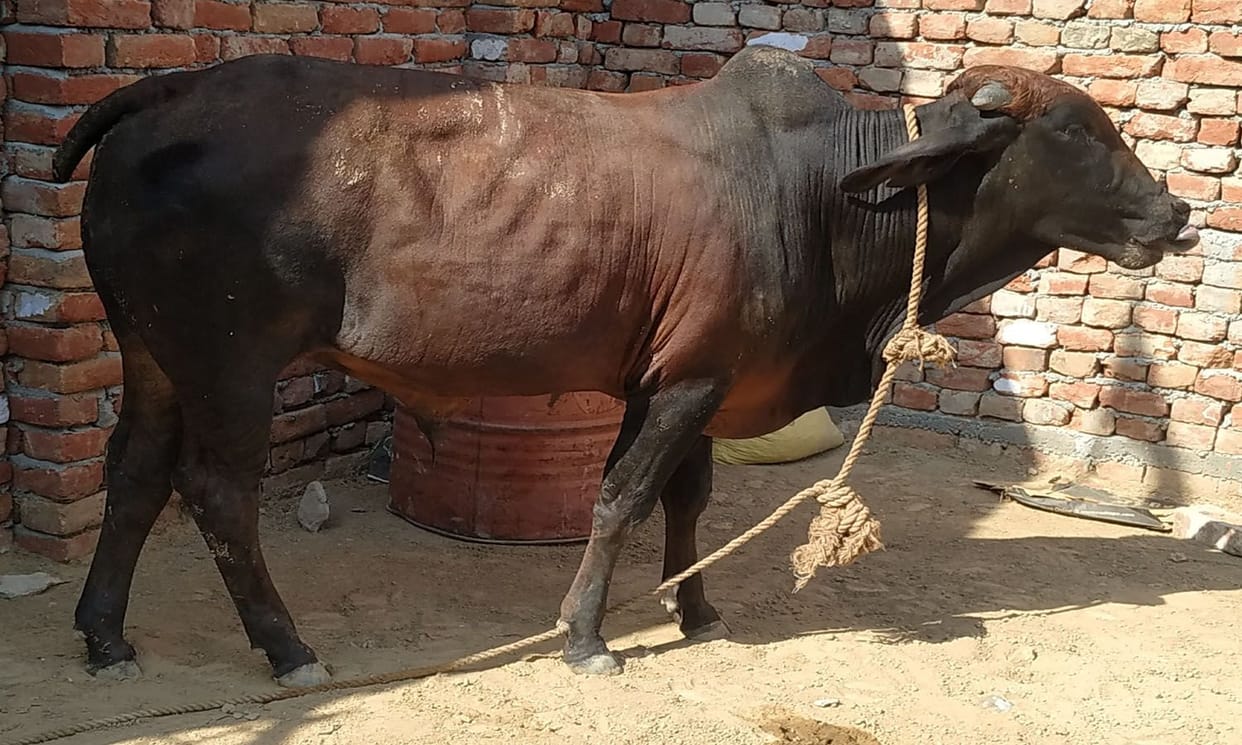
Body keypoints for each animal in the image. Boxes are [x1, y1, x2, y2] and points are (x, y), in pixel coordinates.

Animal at [52, 44, 1197, 687]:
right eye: (1072, 129)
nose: (1175, 213)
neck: (823, 192)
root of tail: (169, 89)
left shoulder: (696, 380)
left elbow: (686, 500)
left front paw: (695, 610)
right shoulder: (685, 383)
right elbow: (619, 499)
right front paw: (587, 636)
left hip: (150, 353)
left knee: (133, 476)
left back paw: (104, 637)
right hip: (230, 363)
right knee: (215, 493)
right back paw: (285, 646)